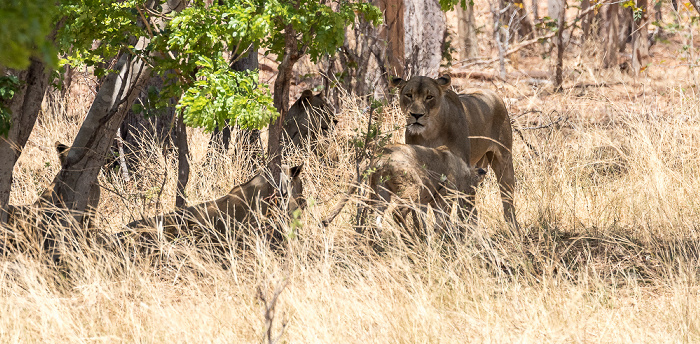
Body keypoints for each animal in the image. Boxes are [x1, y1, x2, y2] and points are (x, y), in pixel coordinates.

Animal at [324, 144, 484, 236]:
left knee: (376, 218)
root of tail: (380, 155)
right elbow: (440, 222)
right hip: (414, 185)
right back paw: (410, 238)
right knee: (397, 212)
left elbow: (424, 220)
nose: (472, 203)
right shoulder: (444, 197)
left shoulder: (427, 202)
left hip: (381, 192)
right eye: (474, 190)